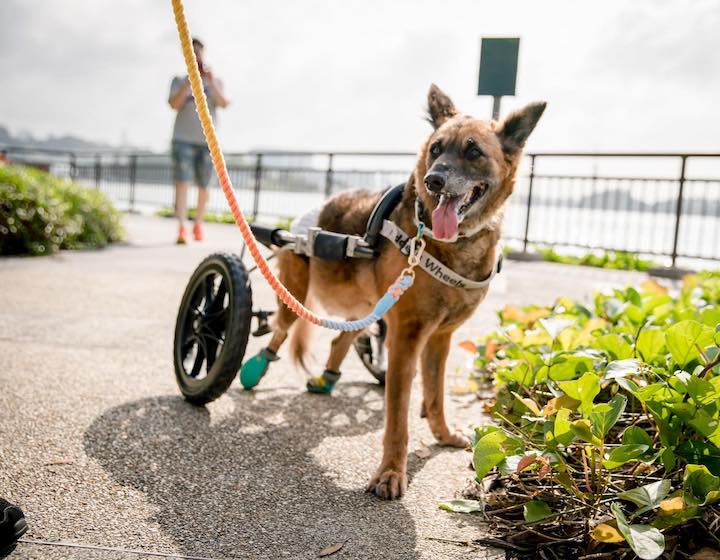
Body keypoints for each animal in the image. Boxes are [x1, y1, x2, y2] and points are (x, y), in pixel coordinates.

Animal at [264, 86, 544, 498]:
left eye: (474, 152)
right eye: (436, 149)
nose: (433, 181)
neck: (446, 243)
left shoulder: (439, 338)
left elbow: (435, 394)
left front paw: (443, 434)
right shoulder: (407, 338)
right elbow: (398, 416)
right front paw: (391, 472)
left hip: (367, 308)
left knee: (340, 339)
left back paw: (327, 379)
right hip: (295, 299)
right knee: (278, 331)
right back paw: (251, 369)